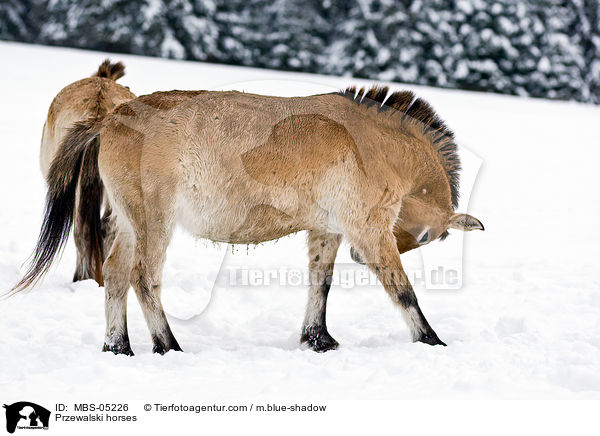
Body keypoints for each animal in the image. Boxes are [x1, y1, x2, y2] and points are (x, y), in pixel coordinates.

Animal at [10, 85, 482, 354]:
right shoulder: (368, 229)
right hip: (154, 222)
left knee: (115, 273)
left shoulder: (326, 230)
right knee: (144, 278)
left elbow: (320, 284)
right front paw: (431, 340)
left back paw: (119, 346)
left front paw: (318, 339)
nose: (359, 258)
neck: (372, 143)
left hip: (128, 222)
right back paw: (168, 346)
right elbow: (403, 291)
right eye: (428, 235)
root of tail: (110, 117)